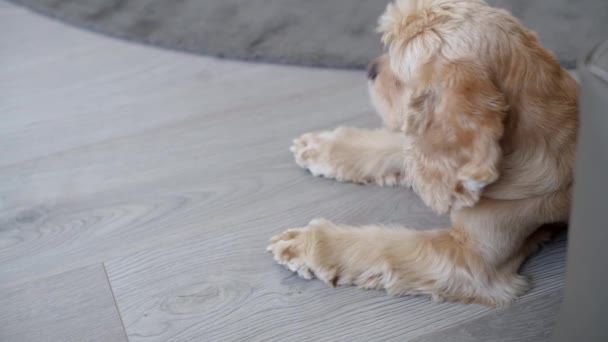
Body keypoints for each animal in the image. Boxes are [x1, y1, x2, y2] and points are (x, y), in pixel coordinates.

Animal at [268, 0, 580, 304]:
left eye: (400, 72)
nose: (370, 68)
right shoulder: (419, 131)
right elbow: (401, 146)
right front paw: (322, 147)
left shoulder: (471, 258)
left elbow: (385, 245)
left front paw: (308, 244)